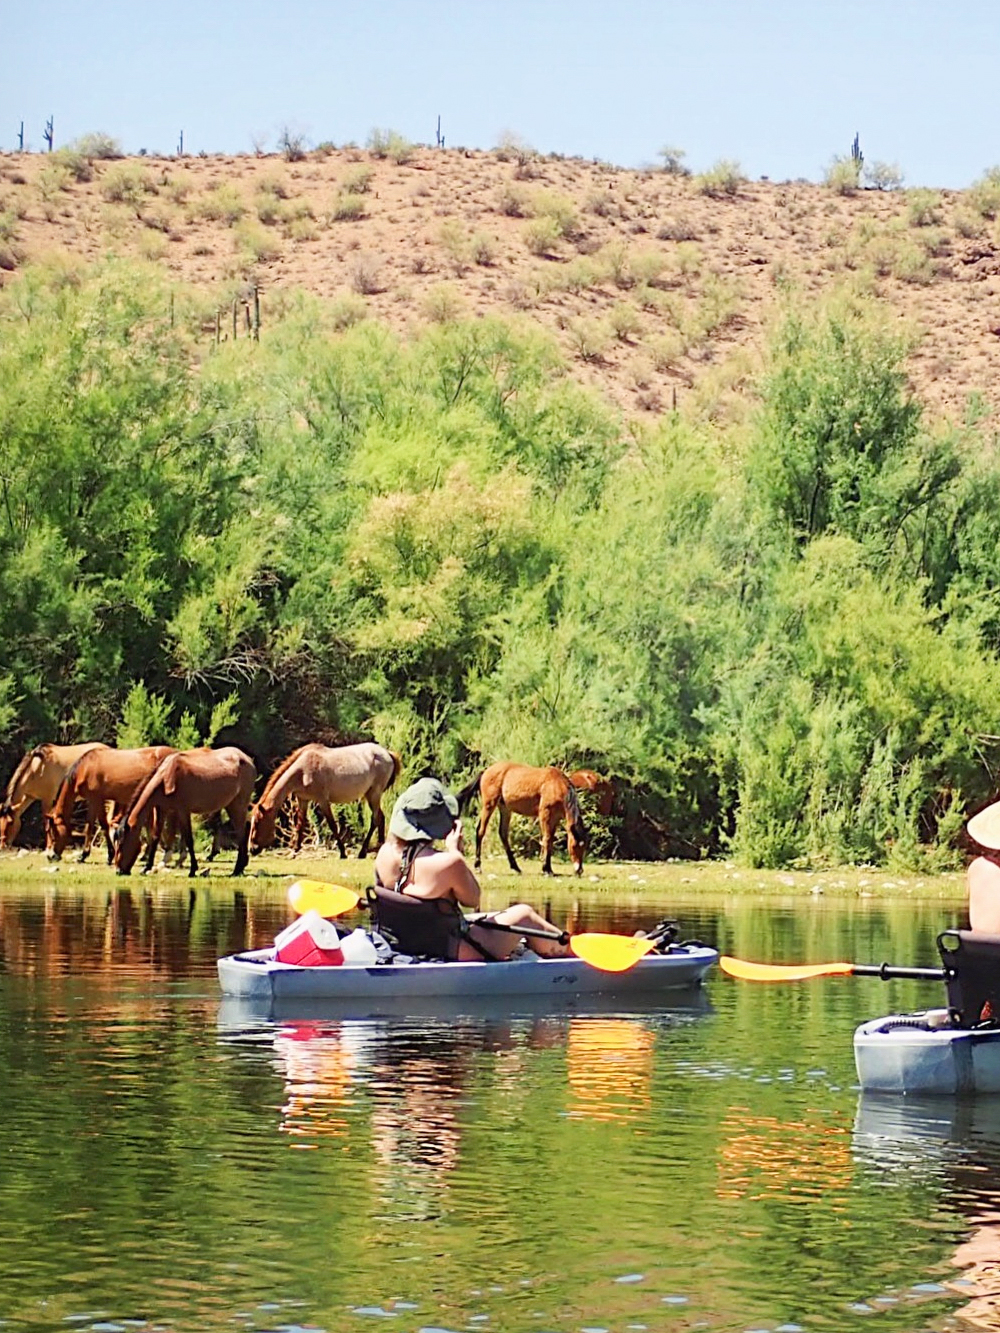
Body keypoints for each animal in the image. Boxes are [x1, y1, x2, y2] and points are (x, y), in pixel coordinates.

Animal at [48, 746, 178, 858]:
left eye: (54, 832)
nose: (50, 856)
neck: (85, 768)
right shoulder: (95, 800)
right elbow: (95, 824)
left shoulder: (96, 799)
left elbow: (98, 825)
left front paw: (88, 855)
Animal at [114, 746, 256, 879]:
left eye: (122, 843)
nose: (118, 870)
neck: (166, 777)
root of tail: (248, 759)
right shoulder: (162, 808)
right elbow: (155, 837)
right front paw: (146, 867)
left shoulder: (182, 811)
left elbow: (189, 839)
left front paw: (193, 869)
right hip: (231, 805)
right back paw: (241, 867)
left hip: (238, 805)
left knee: (242, 833)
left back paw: (237, 869)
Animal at [249, 746, 402, 858]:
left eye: (257, 822)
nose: (252, 849)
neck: (303, 770)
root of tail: (387, 753)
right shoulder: (303, 799)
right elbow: (300, 824)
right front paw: (294, 851)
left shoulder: (322, 801)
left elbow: (332, 825)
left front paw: (342, 853)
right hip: (372, 796)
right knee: (381, 817)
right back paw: (379, 849)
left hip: (374, 794)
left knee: (375, 819)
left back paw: (363, 852)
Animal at [453, 762, 586, 874]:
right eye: (575, 845)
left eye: (584, 846)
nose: (579, 870)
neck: (556, 785)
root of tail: (485, 771)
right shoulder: (545, 814)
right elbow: (547, 839)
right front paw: (546, 869)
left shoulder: (555, 818)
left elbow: (550, 840)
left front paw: (548, 868)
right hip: (489, 805)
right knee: (480, 831)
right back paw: (478, 866)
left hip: (505, 809)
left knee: (503, 834)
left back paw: (515, 867)